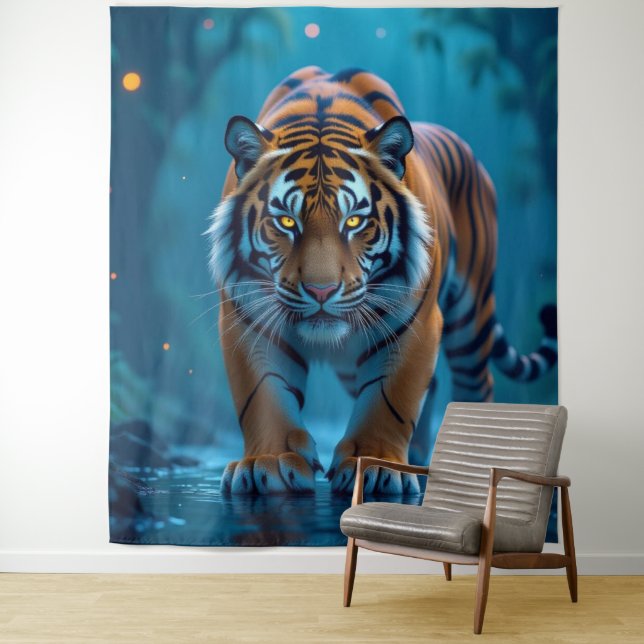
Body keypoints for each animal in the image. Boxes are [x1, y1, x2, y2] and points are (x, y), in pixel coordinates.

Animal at [207, 66, 557, 496]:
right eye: (287, 221)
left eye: (355, 221)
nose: (321, 290)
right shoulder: (248, 316)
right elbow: (263, 393)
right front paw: (268, 463)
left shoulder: (414, 320)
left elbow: (391, 398)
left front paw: (373, 465)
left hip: (471, 320)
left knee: (475, 386)